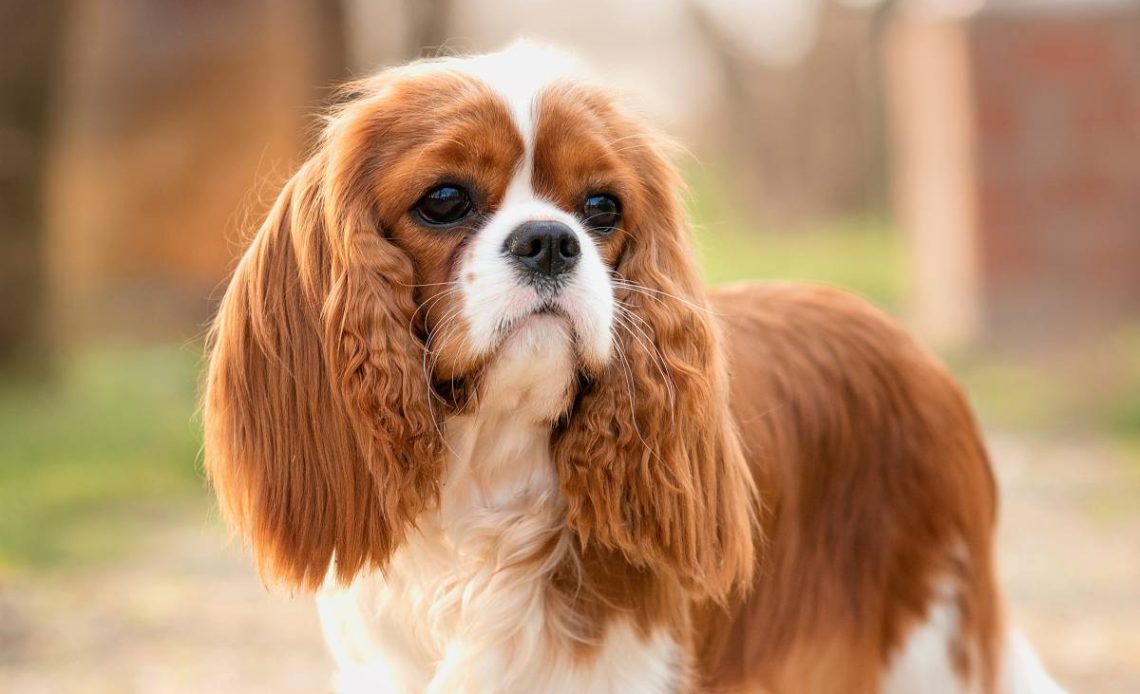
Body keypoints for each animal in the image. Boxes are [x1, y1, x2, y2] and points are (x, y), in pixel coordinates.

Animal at [200, 44, 1062, 692]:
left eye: (601, 208)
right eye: (443, 199)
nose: (551, 241)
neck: (488, 479)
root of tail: (911, 348)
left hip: (929, 644)